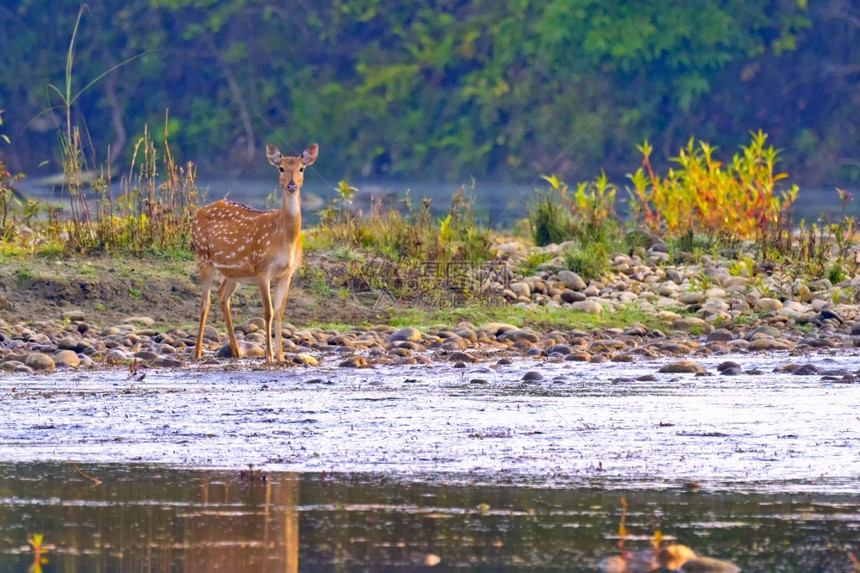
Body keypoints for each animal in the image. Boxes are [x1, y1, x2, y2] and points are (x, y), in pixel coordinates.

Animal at [191, 143, 320, 362]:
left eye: (302, 168)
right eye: (281, 168)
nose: (292, 185)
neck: (284, 239)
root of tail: (195, 214)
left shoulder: (287, 273)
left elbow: (280, 312)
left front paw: (281, 356)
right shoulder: (262, 268)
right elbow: (267, 312)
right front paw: (269, 356)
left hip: (235, 272)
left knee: (222, 295)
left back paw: (236, 350)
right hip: (203, 257)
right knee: (204, 302)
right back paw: (198, 352)